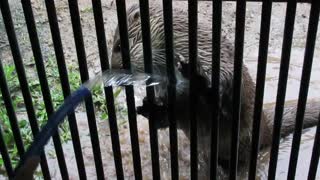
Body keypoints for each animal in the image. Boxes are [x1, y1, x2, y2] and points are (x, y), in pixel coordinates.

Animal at [110, 3, 320, 173]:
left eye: (118, 46)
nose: (114, 74)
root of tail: (266, 127)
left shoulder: (223, 66)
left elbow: (221, 95)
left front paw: (195, 73)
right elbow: (173, 113)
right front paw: (151, 106)